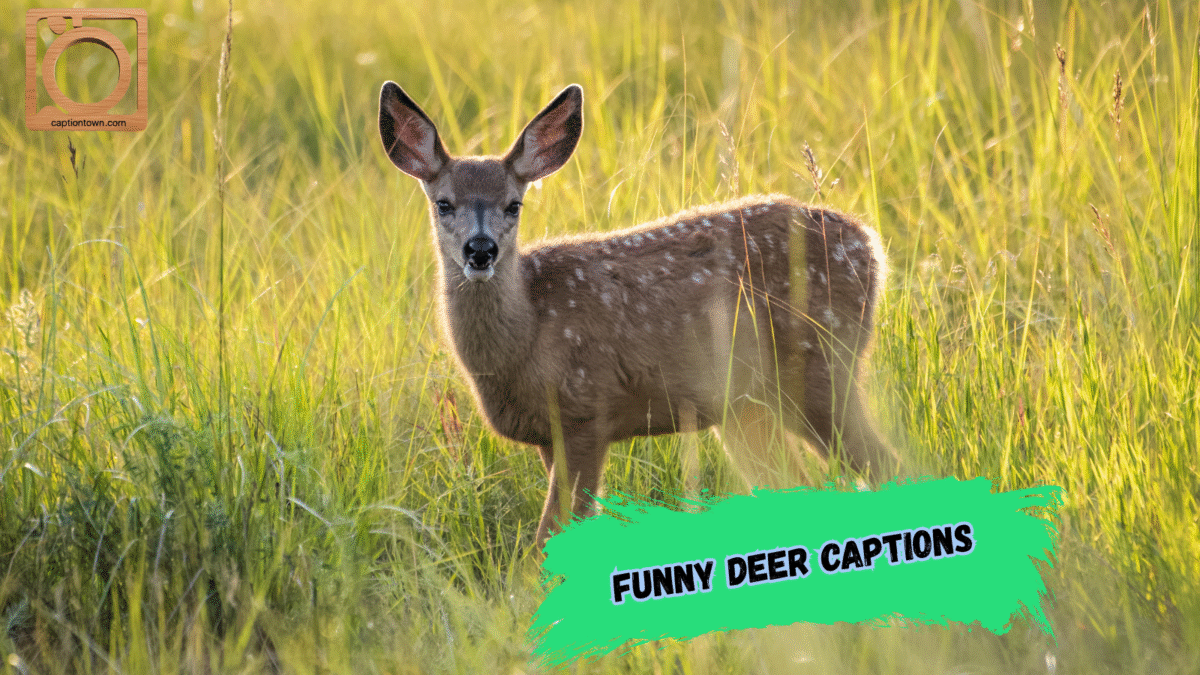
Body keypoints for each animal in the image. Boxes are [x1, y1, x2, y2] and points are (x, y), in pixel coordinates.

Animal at [378, 81, 900, 549]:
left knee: (890, 465)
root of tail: (870, 244)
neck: (525, 336)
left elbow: (551, 537)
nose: (481, 250)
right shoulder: (550, 435)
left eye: (514, 204)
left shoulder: (586, 411)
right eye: (443, 203)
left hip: (821, 363)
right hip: (747, 405)